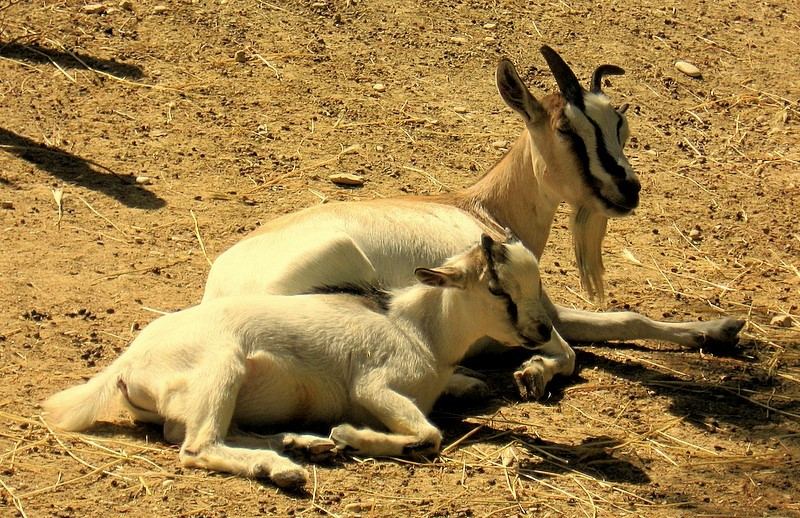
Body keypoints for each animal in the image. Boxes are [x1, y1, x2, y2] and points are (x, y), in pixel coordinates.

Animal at [42, 238, 556, 490]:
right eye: (497, 288)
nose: (543, 330)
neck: (419, 330)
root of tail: (126, 364)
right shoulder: (374, 386)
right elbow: (429, 435)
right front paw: (354, 435)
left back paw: (305, 445)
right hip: (221, 369)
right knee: (195, 445)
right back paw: (284, 467)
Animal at [202, 45, 744, 402]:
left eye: (620, 125)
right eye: (567, 128)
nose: (628, 190)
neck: (480, 207)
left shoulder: (550, 309)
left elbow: (626, 318)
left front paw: (722, 328)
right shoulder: (529, 316)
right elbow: (569, 352)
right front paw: (533, 373)